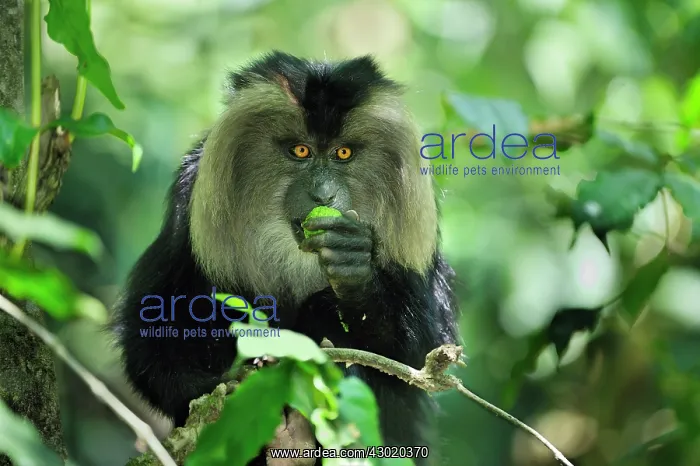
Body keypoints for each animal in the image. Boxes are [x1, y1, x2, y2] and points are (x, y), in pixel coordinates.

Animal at [112, 51, 460, 465]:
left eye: (343, 153)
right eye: (301, 151)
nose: (323, 194)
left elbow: (419, 357)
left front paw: (354, 269)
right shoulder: (187, 206)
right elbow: (150, 341)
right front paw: (221, 383)